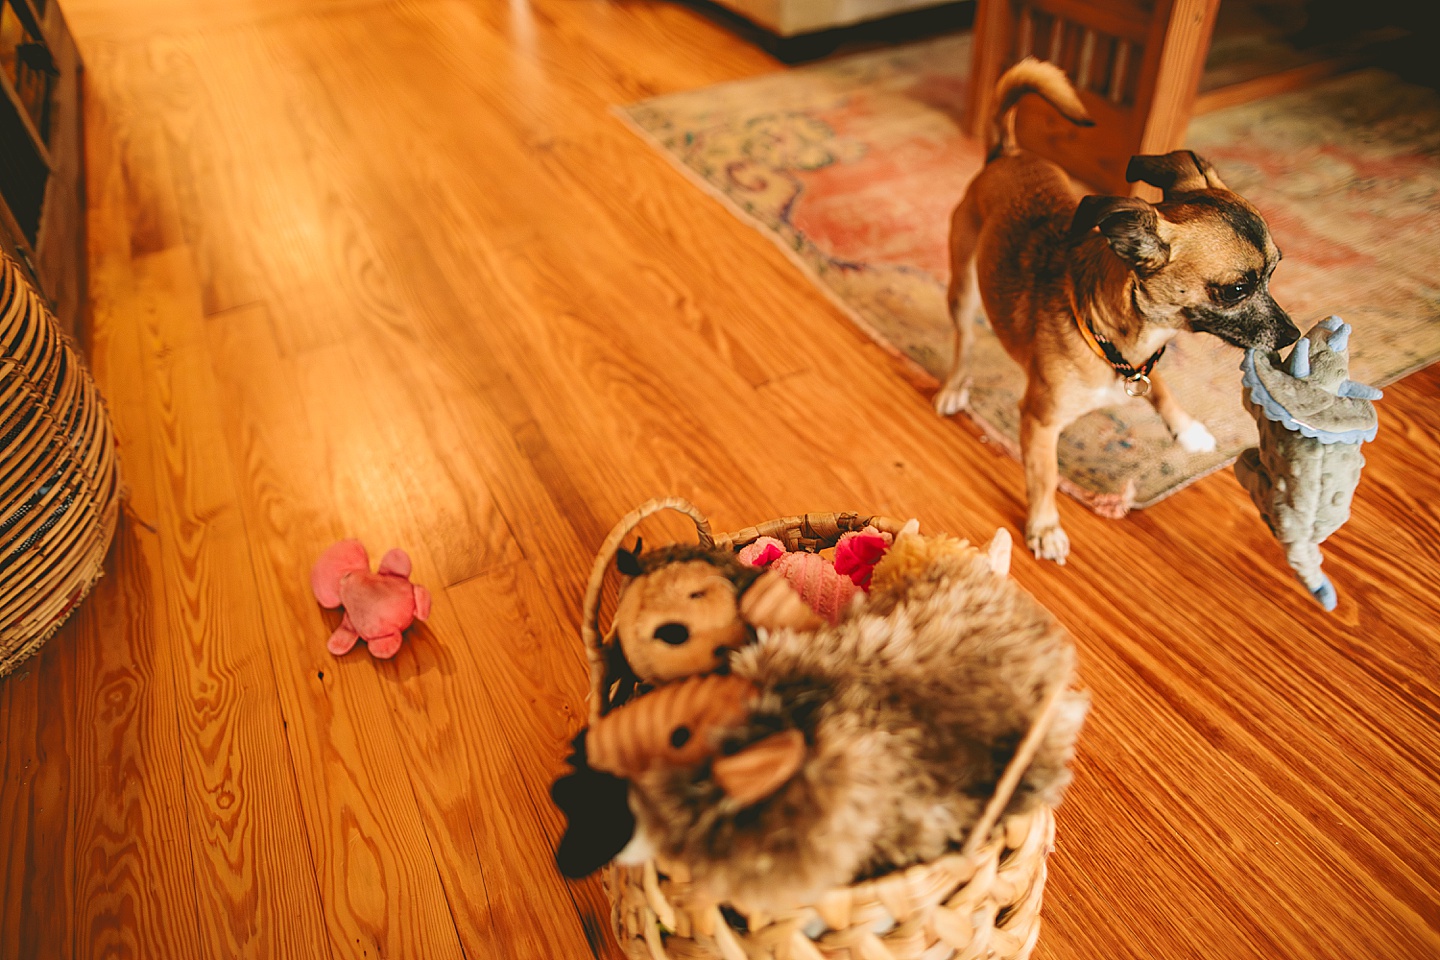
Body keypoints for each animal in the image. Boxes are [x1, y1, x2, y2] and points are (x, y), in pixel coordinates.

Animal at [938, 58, 1301, 564]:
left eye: (1275, 269)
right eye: (1236, 289)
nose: (1293, 335)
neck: (1119, 339)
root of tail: (1004, 154)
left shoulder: (1145, 367)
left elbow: (1161, 388)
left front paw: (1187, 428)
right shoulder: (1040, 424)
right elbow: (1045, 477)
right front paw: (1044, 527)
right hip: (964, 286)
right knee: (964, 338)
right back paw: (955, 385)